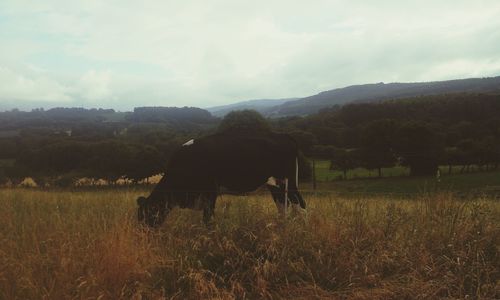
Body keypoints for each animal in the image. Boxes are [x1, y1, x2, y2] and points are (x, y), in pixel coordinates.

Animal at [137, 131, 306, 227]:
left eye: (148, 213)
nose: (144, 235)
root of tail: (283, 136)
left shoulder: (210, 192)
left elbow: (208, 219)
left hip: (288, 181)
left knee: (299, 205)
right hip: (275, 185)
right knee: (283, 206)